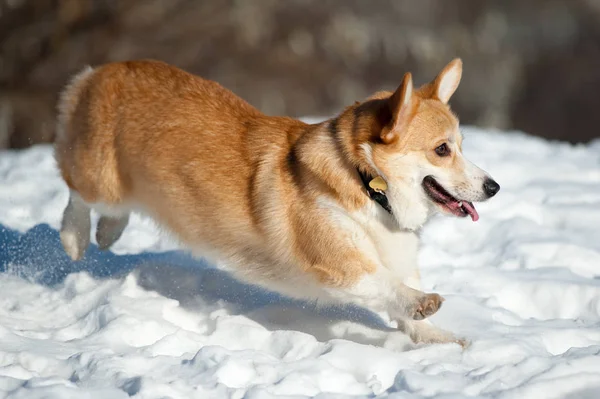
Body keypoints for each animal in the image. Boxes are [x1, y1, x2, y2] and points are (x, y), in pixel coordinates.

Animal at [56, 59, 500, 346]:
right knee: (76, 194)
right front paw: (423, 304)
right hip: (102, 180)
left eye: (462, 145)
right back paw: (75, 239)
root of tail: (100, 71)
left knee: (111, 214)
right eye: (442, 149)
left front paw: (440, 338)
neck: (367, 182)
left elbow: (405, 302)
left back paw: (108, 233)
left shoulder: (398, 256)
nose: (494, 187)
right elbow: (385, 285)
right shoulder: (338, 262)